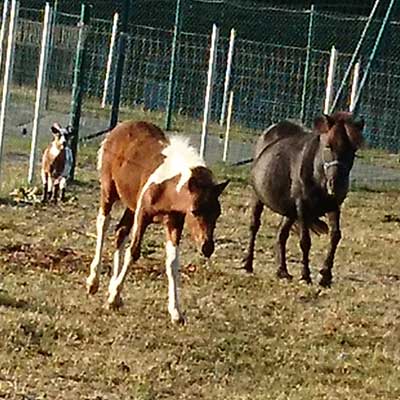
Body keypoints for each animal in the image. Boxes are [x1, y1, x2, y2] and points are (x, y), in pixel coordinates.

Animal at [86, 120, 231, 324]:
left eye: (217, 213)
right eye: (194, 211)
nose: (207, 247)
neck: (168, 188)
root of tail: (119, 128)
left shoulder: (174, 223)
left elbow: (172, 263)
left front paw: (176, 313)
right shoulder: (143, 214)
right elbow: (134, 252)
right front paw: (113, 298)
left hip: (131, 204)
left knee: (120, 231)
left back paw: (112, 288)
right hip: (109, 190)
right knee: (103, 224)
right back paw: (93, 282)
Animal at [242, 112, 364, 286]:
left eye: (353, 149)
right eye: (329, 146)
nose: (337, 185)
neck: (318, 174)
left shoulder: (333, 206)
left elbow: (335, 236)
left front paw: (325, 275)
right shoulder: (303, 206)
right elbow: (305, 241)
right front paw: (305, 275)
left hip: (290, 211)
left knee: (281, 235)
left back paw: (282, 271)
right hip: (258, 196)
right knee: (254, 226)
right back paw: (248, 264)